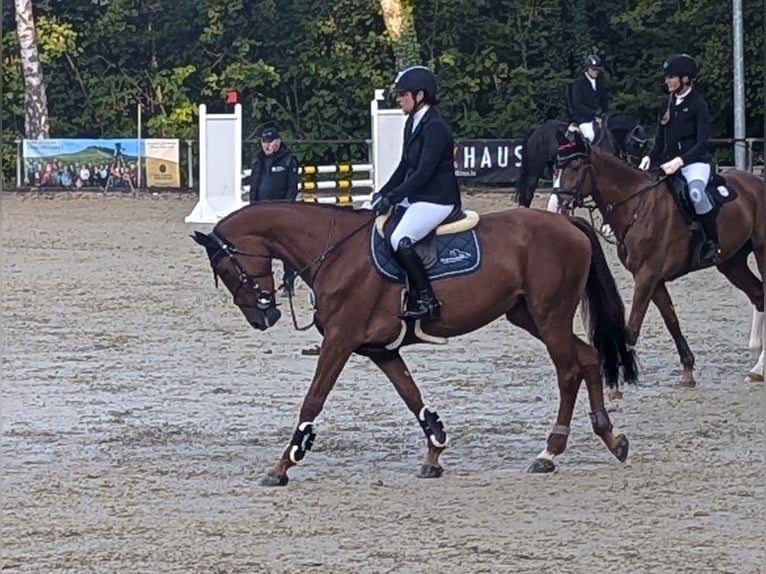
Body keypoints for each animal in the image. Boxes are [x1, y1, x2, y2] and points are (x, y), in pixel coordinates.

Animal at [190, 202, 636, 486]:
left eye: (225, 269)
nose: (263, 318)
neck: (333, 252)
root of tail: (568, 224)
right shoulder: (381, 350)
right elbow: (411, 396)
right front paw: (435, 451)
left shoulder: (339, 341)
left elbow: (312, 401)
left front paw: (284, 464)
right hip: (529, 316)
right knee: (589, 358)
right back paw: (611, 438)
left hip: (549, 316)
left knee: (569, 371)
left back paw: (550, 452)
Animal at [516, 115, 648, 209]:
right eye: (635, 145)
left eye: (644, 146)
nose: (638, 167)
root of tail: (537, 130)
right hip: (534, 171)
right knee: (528, 194)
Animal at [556, 130, 764, 388]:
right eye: (557, 167)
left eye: (575, 166)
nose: (559, 203)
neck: (636, 205)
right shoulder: (652, 279)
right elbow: (671, 320)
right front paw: (688, 370)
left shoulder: (647, 276)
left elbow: (632, 328)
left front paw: (619, 379)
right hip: (732, 263)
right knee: (759, 295)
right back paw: (756, 363)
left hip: (761, 251)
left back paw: (759, 366)